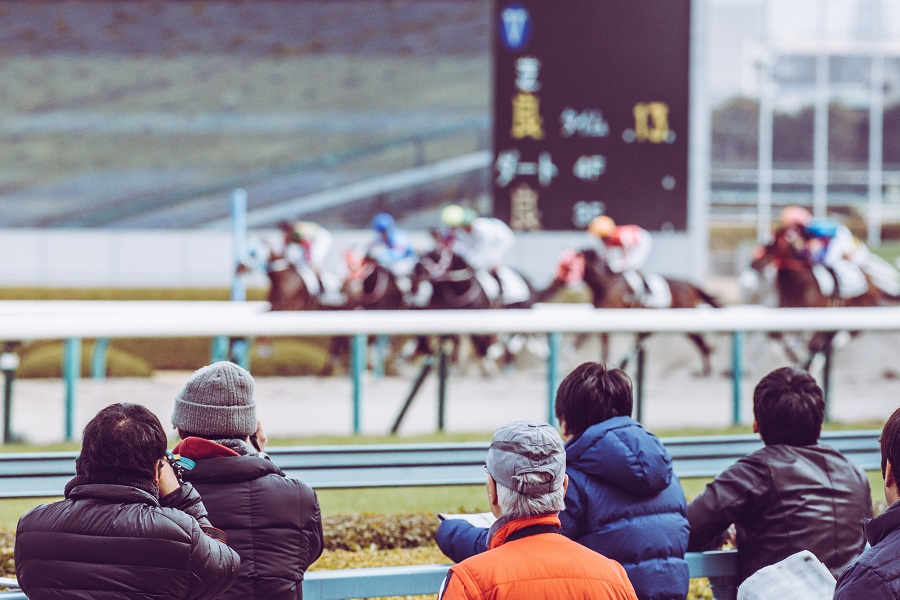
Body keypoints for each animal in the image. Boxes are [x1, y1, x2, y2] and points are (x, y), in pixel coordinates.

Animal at [564, 248, 724, 376]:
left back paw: (706, 369)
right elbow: (591, 342)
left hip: (684, 317)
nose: (560, 280)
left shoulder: (606, 315)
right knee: (643, 338)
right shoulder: (600, 318)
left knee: (700, 341)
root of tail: (690, 285)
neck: (604, 284)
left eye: (567, 265)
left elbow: (586, 340)